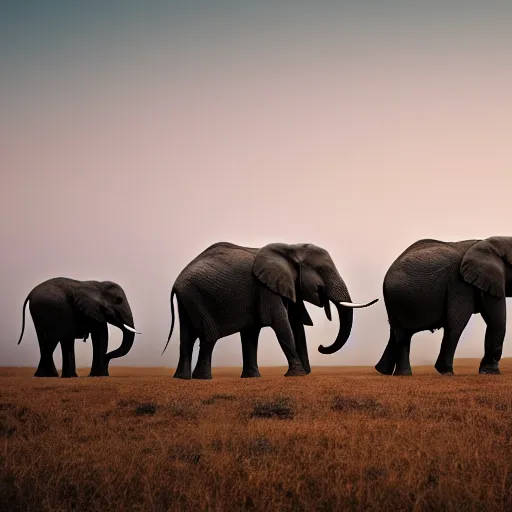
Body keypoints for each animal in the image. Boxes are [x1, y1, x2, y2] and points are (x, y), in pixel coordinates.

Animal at [162, 241, 378, 380]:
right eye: (322, 271)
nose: (321, 347)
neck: (290, 249)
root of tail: (176, 283)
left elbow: (275, 329)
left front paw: (253, 378)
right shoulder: (266, 289)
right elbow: (282, 324)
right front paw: (297, 375)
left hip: (188, 299)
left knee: (187, 339)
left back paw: (182, 379)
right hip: (198, 298)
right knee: (208, 337)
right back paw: (202, 379)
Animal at [374, 237, 512, 376]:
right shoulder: (460, 283)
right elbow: (463, 322)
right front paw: (488, 372)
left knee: (397, 333)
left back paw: (383, 371)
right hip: (399, 299)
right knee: (403, 335)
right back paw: (404, 374)